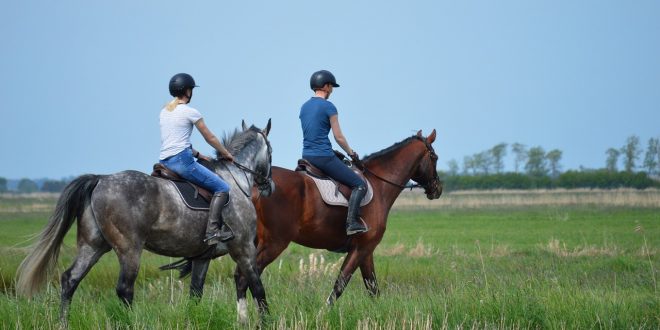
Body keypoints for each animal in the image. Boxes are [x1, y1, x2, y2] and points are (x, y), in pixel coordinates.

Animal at [16, 120, 274, 324]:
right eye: (271, 150)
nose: (269, 186)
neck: (234, 179)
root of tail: (100, 180)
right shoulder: (243, 249)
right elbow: (257, 287)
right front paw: (266, 321)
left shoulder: (202, 257)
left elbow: (196, 294)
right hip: (129, 249)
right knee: (124, 289)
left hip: (93, 246)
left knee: (70, 279)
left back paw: (63, 322)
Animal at [235, 130, 440, 318]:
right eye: (434, 157)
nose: (437, 189)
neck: (379, 185)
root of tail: (256, 184)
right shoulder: (361, 248)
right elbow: (341, 284)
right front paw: (322, 315)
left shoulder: (366, 251)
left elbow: (372, 287)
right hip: (274, 243)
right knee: (248, 278)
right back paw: (264, 319)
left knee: (241, 277)